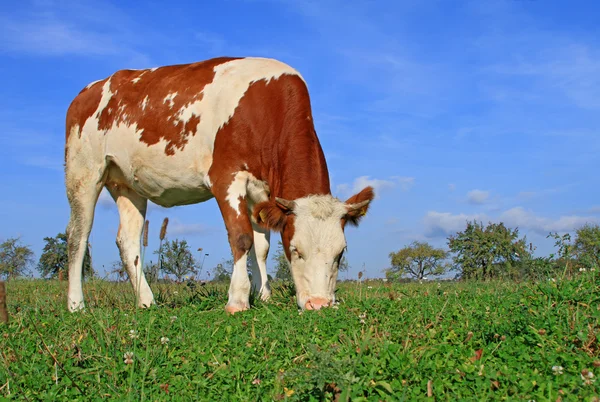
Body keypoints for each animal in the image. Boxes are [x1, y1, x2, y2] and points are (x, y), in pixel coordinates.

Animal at [67, 56, 376, 314]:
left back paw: (146, 301)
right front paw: (238, 300)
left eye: (340, 253)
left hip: (127, 185)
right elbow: (241, 237)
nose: (319, 304)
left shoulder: (261, 192)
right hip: (83, 170)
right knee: (77, 235)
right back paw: (76, 304)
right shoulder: (226, 177)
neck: (266, 108)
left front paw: (263, 295)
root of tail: (92, 88)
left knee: (128, 240)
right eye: (296, 249)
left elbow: (261, 246)